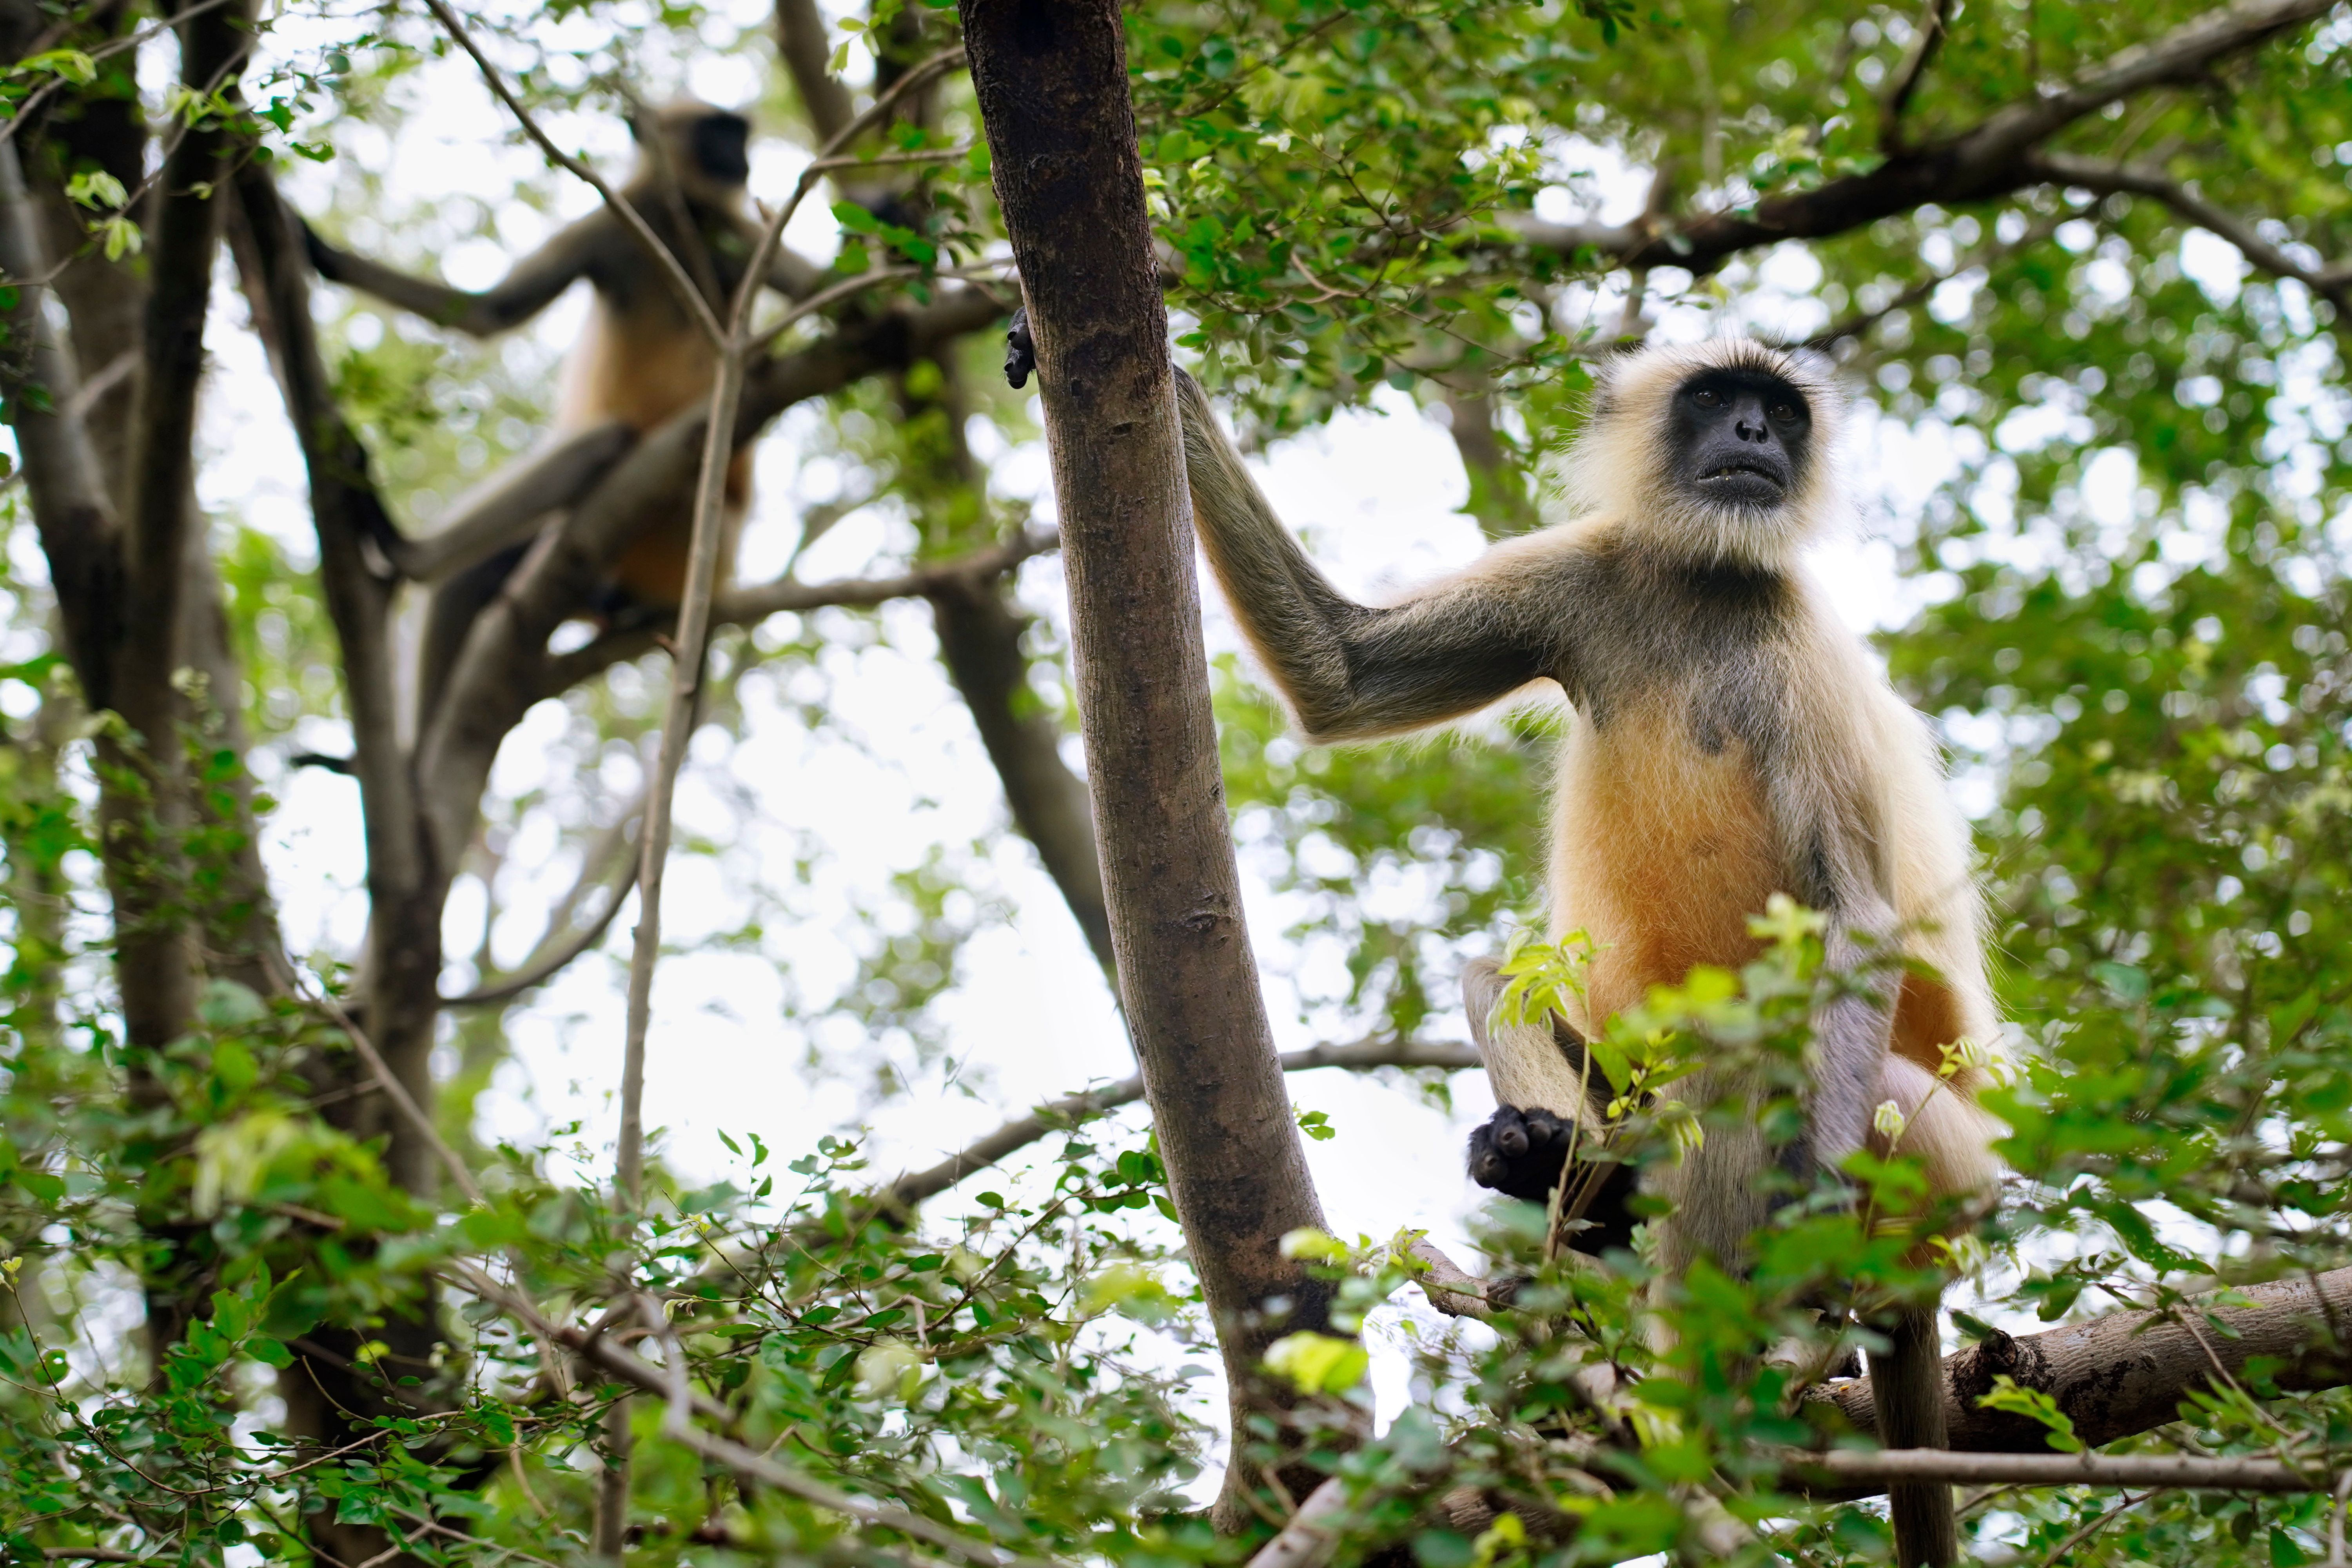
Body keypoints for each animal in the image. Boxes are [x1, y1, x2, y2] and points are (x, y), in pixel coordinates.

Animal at [301, 98, 825, 723]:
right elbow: (489, 313)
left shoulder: (737, 235)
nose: (738, 156)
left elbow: (828, 292)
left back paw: (407, 554)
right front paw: (319, 250)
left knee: (608, 442)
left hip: (689, 535)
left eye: (736, 135)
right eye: (714, 133)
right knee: (469, 579)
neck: (676, 220)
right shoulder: (610, 228)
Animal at [1172, 340, 2005, 1568]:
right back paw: (1566, 1176)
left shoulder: (1799, 648)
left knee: (1752, 1070)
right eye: (1717, 400)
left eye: (1782, 414)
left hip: (1924, 1150)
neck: (1705, 585)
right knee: (1502, 980)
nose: (1754, 435)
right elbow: (1344, 673)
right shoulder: (1589, 574)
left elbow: (1854, 921)